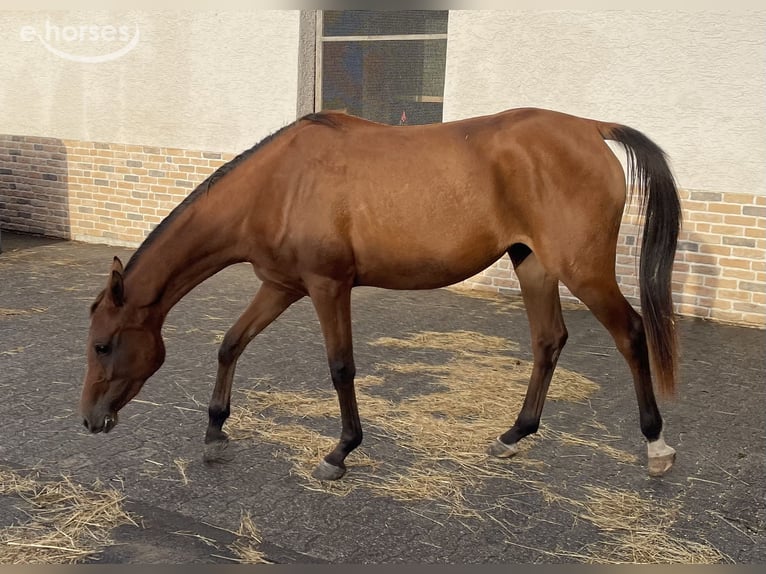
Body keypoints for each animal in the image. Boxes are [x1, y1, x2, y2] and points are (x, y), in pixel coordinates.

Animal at [80, 107, 681, 480]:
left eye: (103, 345)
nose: (88, 420)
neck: (277, 185)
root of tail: (591, 128)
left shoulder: (328, 287)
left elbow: (341, 367)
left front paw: (340, 452)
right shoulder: (280, 286)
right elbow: (231, 344)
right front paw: (213, 432)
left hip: (583, 270)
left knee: (631, 333)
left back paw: (656, 446)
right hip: (531, 264)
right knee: (548, 340)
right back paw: (513, 435)